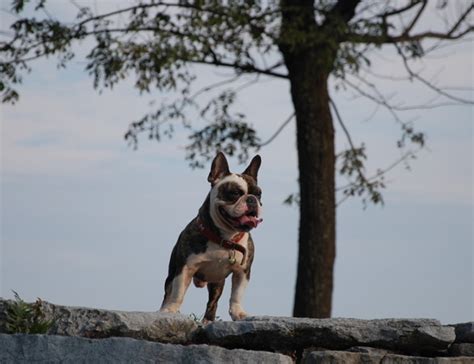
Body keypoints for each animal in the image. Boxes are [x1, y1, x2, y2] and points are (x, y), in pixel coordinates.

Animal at [159, 151, 262, 322]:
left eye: (259, 194)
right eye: (234, 193)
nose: (252, 199)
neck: (225, 238)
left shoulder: (242, 271)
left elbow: (237, 295)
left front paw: (238, 313)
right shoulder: (185, 268)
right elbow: (178, 293)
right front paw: (171, 310)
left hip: (217, 282)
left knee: (213, 302)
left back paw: (208, 320)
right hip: (172, 273)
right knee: (168, 291)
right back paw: (164, 309)